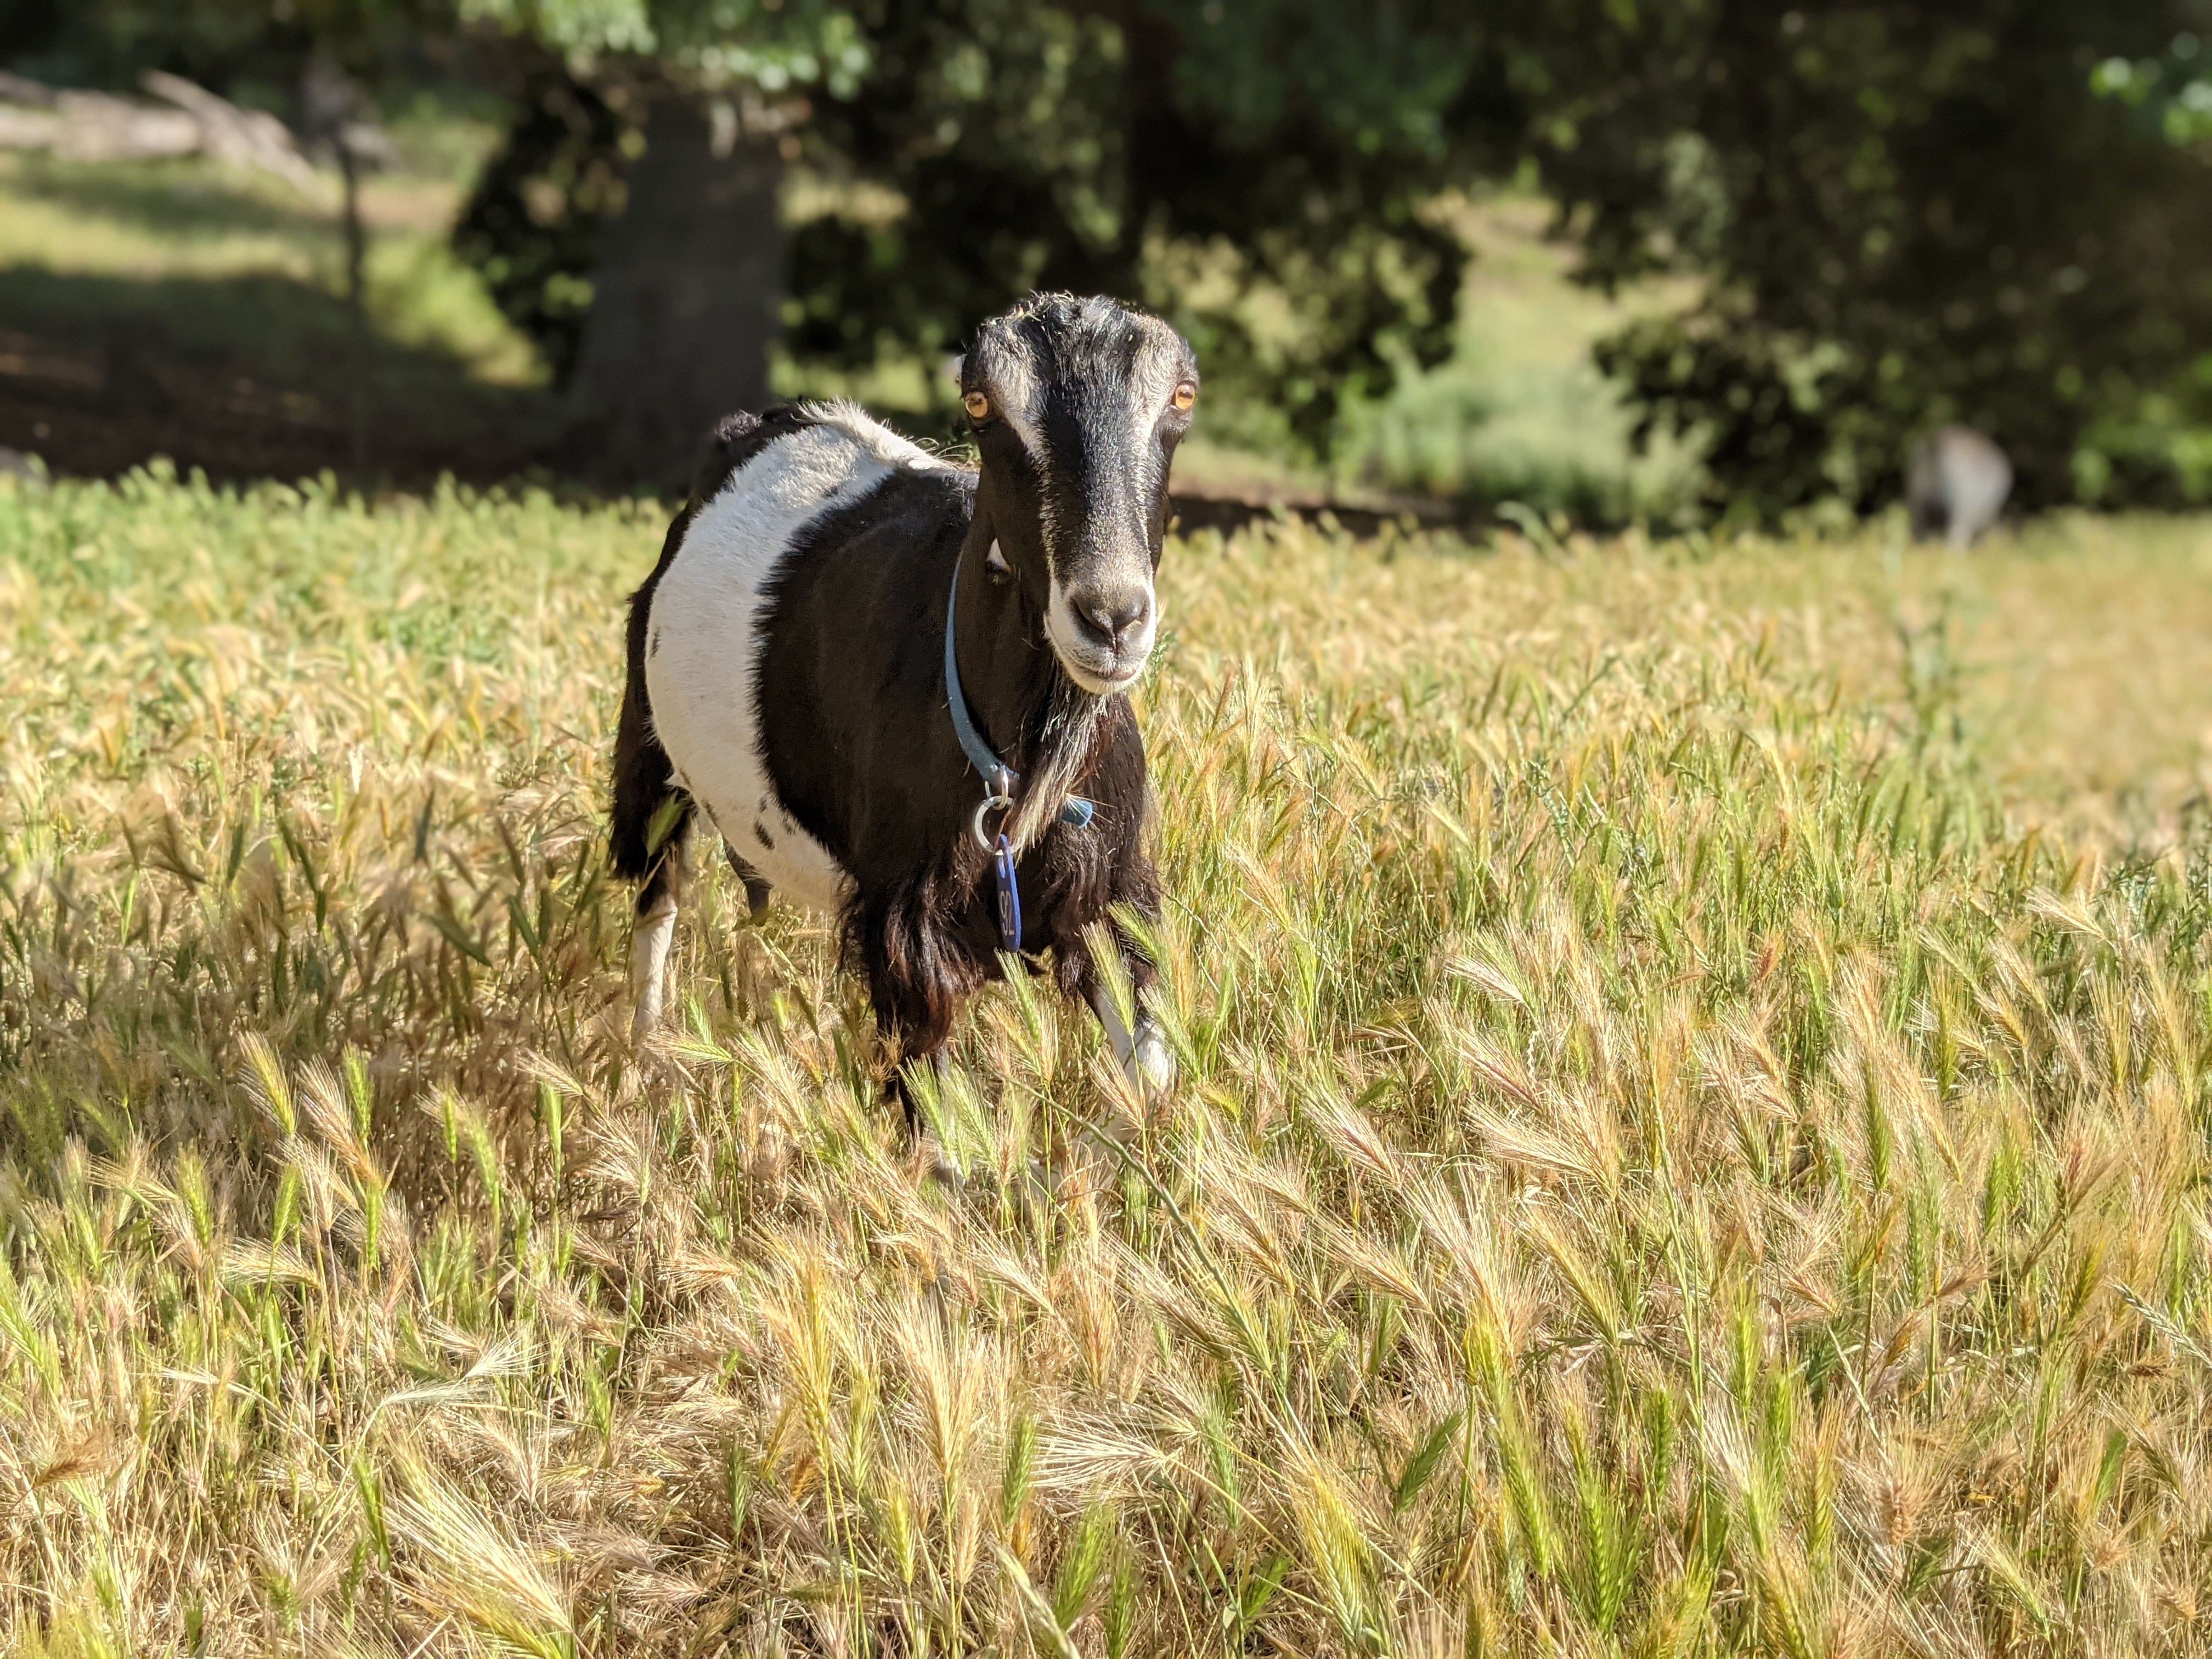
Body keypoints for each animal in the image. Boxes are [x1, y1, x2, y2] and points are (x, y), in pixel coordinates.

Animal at [610, 293, 1195, 1103]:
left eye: (1183, 397)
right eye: (980, 403)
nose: (1111, 619)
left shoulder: (1112, 891)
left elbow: (1151, 1082)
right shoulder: (905, 928)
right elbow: (937, 1116)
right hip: (650, 750)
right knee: (655, 894)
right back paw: (646, 1063)